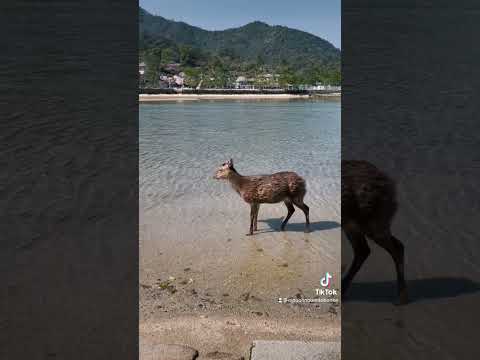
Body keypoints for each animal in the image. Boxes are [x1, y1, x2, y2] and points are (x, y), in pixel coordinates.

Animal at [342, 160, 408, 304]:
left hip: (371, 220)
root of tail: (390, 184)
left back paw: (401, 297)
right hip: (357, 221)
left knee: (396, 247)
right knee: (363, 250)